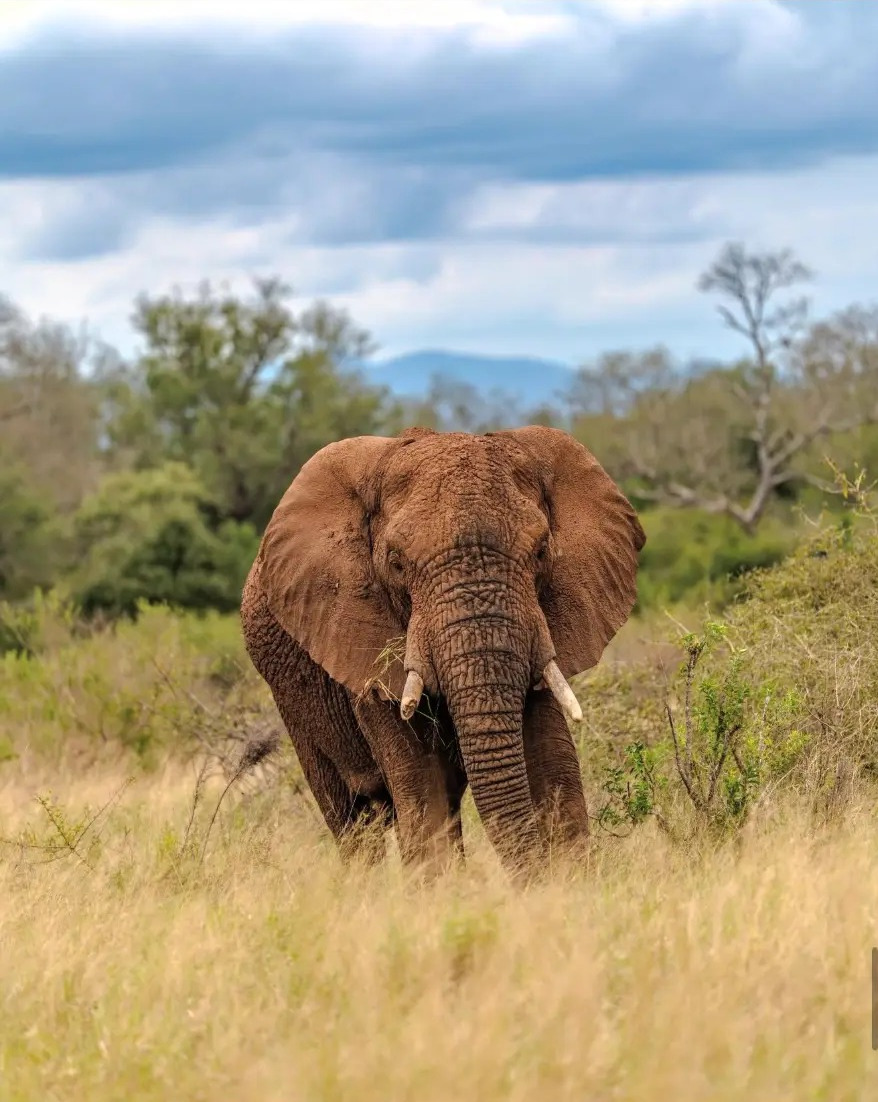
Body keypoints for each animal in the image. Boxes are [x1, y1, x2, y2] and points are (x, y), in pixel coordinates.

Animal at [241, 425, 645, 878]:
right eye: (397, 564)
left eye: (542, 552)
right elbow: (423, 787)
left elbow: (552, 767)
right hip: (294, 705)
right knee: (352, 819)